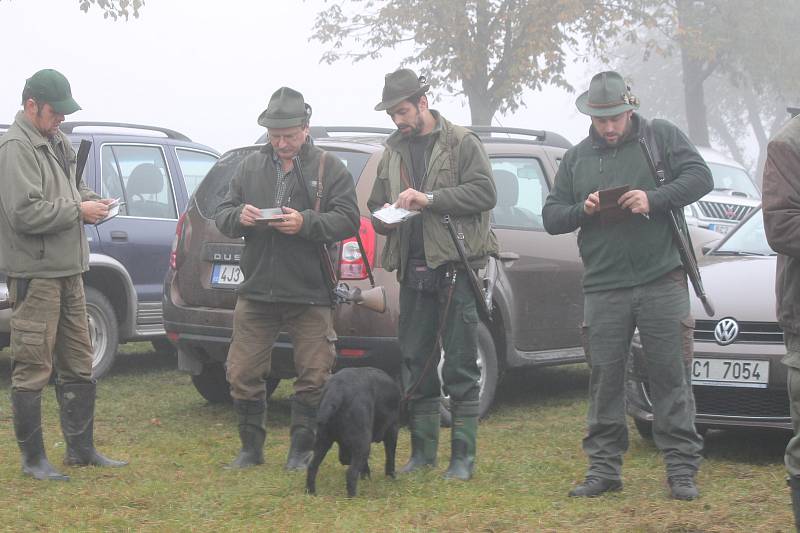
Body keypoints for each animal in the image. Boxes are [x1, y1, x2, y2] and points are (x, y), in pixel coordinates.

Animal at [308, 366, 404, 494]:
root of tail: (337, 389)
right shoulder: (392, 430)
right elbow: (390, 457)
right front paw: (391, 477)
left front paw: (366, 478)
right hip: (363, 443)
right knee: (351, 473)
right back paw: (352, 497)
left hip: (322, 441)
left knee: (312, 467)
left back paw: (311, 492)